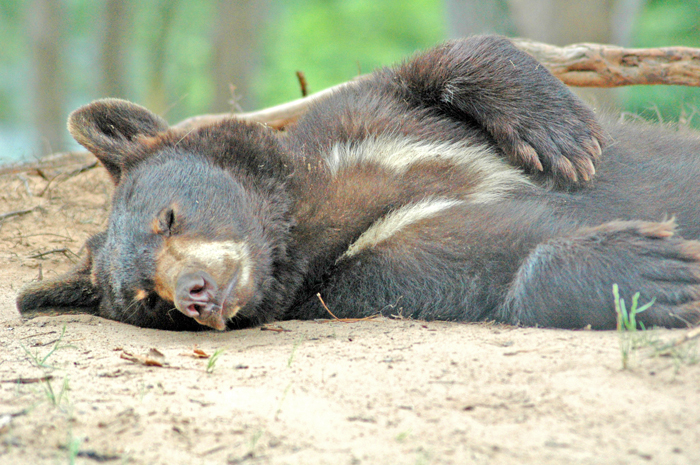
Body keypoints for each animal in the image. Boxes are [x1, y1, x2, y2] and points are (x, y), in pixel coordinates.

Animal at [13, 36, 700, 330]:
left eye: (168, 216)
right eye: (148, 300)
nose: (194, 293)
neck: (304, 219)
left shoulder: (364, 127)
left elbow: (434, 67)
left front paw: (563, 136)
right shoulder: (358, 275)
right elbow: (484, 268)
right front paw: (656, 270)